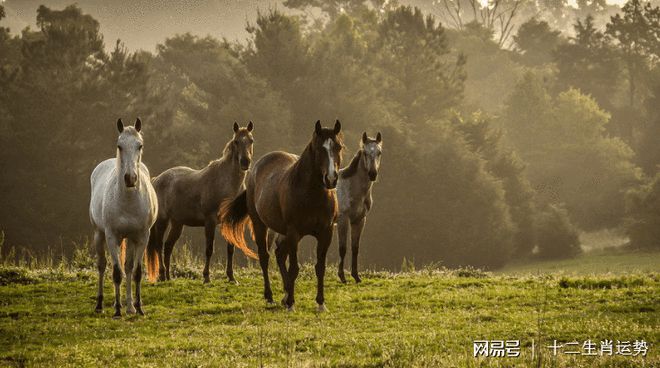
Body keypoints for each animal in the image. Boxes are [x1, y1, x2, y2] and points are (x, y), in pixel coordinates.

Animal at [89, 118, 158, 320]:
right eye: (119, 146)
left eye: (139, 145)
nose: (130, 178)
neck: (128, 201)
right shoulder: (112, 237)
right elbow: (116, 273)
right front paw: (118, 310)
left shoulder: (141, 237)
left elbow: (135, 272)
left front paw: (138, 307)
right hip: (99, 234)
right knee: (102, 266)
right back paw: (101, 304)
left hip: (131, 239)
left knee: (127, 267)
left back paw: (130, 307)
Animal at [147, 122, 258, 284]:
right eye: (236, 141)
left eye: (251, 140)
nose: (245, 162)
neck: (226, 184)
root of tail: (156, 180)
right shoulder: (210, 221)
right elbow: (209, 249)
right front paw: (206, 277)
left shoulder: (229, 221)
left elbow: (230, 249)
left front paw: (231, 277)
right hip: (162, 221)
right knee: (159, 245)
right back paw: (161, 275)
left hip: (177, 223)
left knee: (168, 246)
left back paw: (168, 277)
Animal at [223, 120, 346, 310]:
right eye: (319, 149)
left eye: (338, 147)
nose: (331, 179)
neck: (312, 194)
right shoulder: (294, 232)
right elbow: (294, 268)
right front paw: (291, 303)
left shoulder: (326, 233)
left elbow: (320, 267)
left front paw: (320, 303)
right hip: (261, 225)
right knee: (265, 257)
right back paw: (271, 295)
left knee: (280, 254)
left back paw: (286, 292)